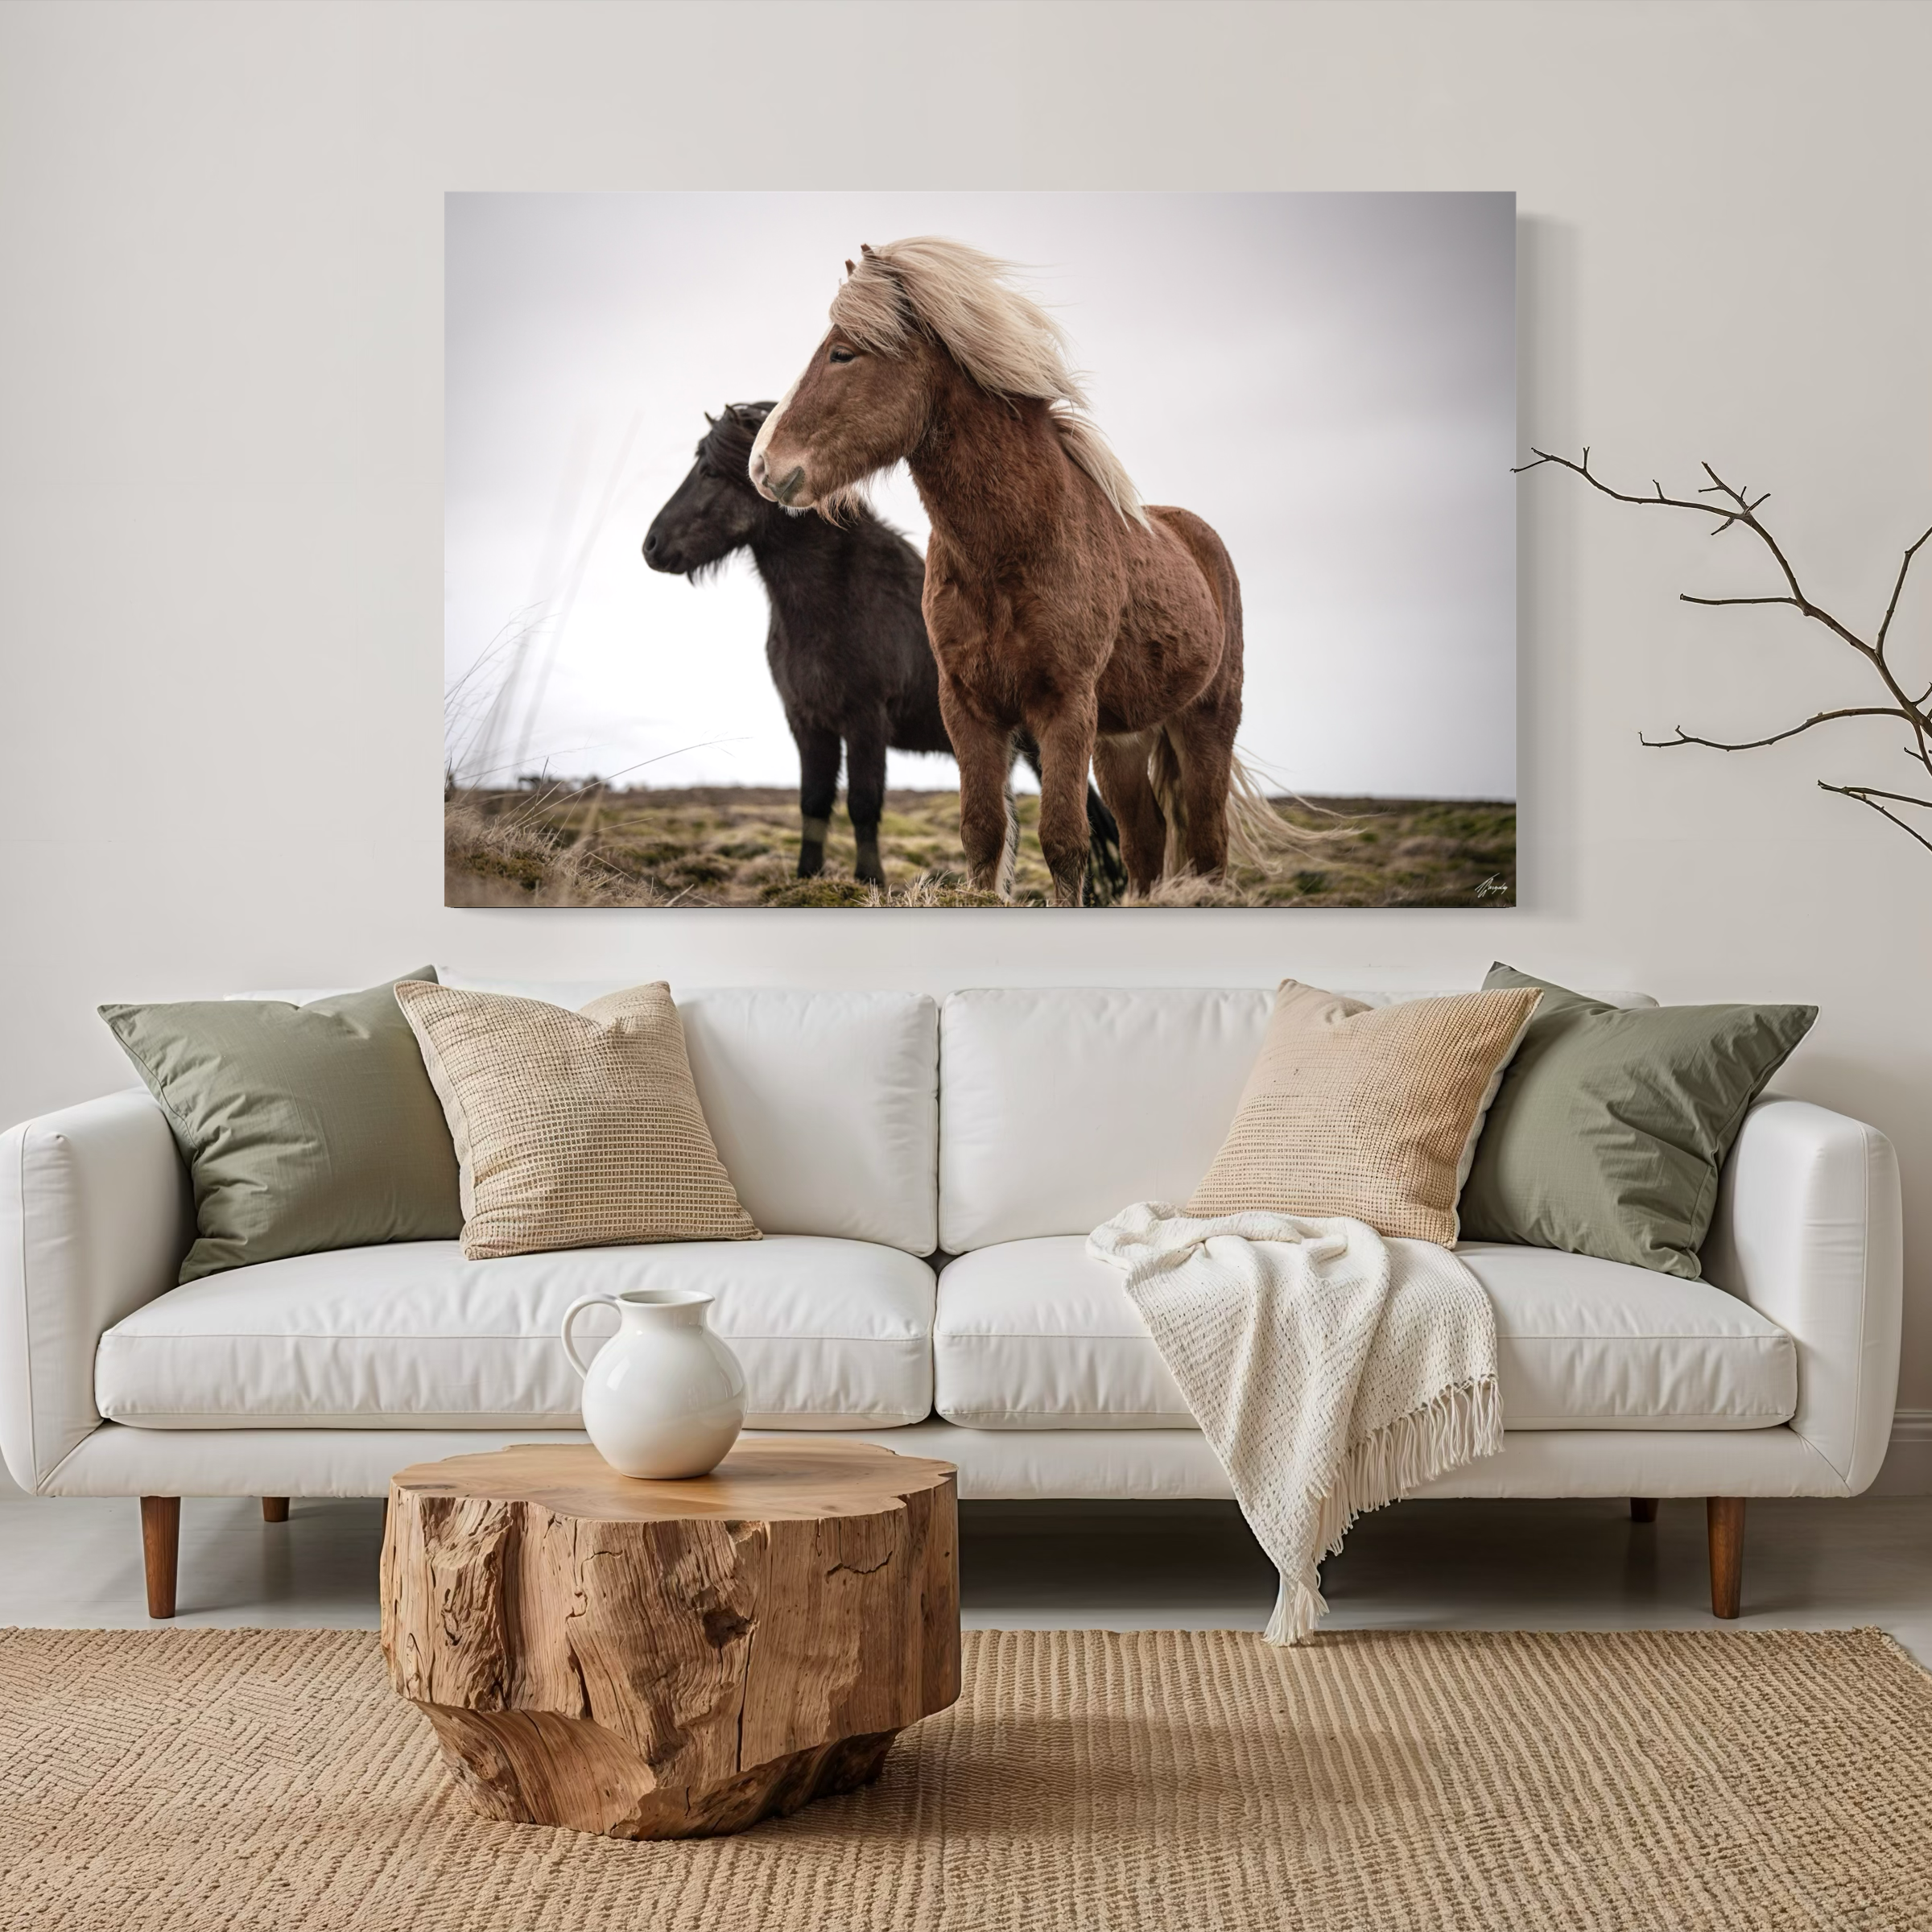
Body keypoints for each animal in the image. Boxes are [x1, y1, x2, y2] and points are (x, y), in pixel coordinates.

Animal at [644, 401, 1126, 900]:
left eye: (710, 472)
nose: (652, 545)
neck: (834, 604)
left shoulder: (865, 722)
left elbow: (863, 803)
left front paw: (869, 880)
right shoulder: (808, 723)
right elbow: (813, 803)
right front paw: (806, 877)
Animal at [750, 236, 1286, 907]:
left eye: (842, 353)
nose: (762, 465)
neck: (1014, 549)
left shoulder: (1065, 709)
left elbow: (1063, 840)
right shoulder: (969, 709)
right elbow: (983, 833)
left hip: (1204, 724)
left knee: (1208, 843)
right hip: (1122, 741)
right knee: (1146, 840)